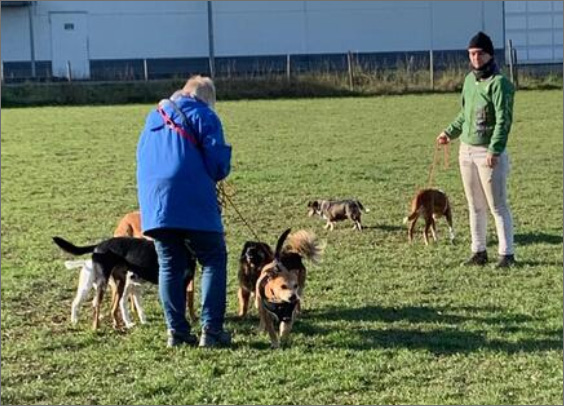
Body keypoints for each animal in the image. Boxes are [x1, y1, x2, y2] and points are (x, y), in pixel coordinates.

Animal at [53, 235, 195, 330]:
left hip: (119, 284)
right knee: (96, 304)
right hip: (103, 283)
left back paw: (117, 325)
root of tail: (99, 245)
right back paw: (95, 327)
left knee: (113, 307)